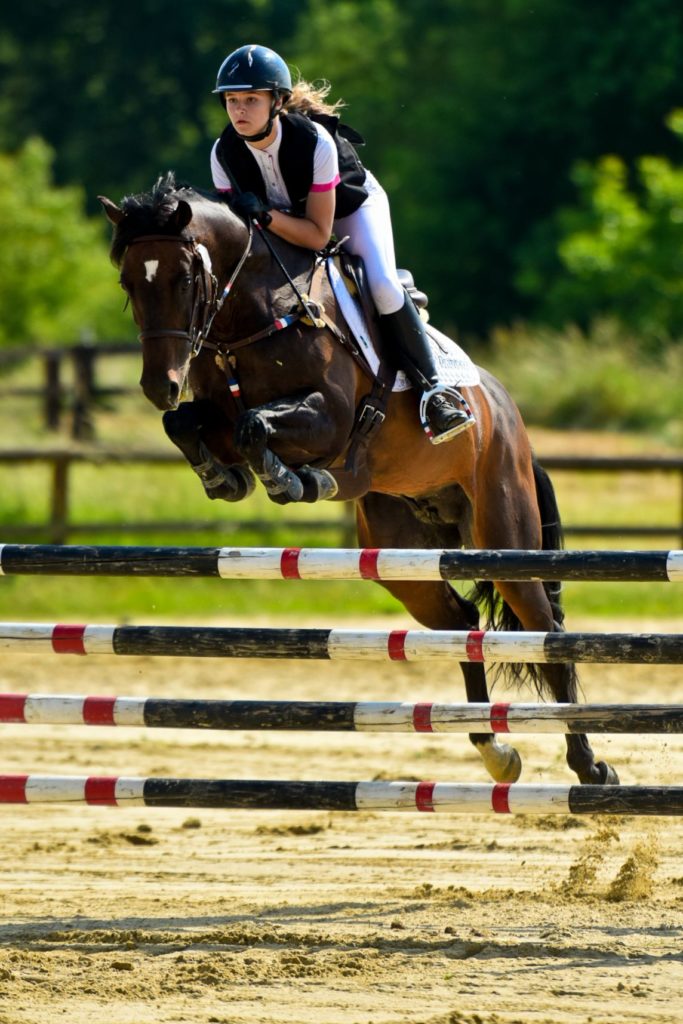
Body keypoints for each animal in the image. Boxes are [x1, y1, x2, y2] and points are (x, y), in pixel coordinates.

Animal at [100, 172, 618, 786]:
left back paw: (590, 767)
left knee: (545, 630)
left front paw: (291, 480)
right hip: (403, 557)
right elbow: (187, 424)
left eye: (183, 277)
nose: (160, 384)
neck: (250, 316)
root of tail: (506, 412)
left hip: (503, 534)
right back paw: (494, 749)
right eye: (128, 281)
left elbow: (257, 426)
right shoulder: (217, 416)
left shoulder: (329, 420)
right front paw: (224, 478)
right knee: (461, 622)